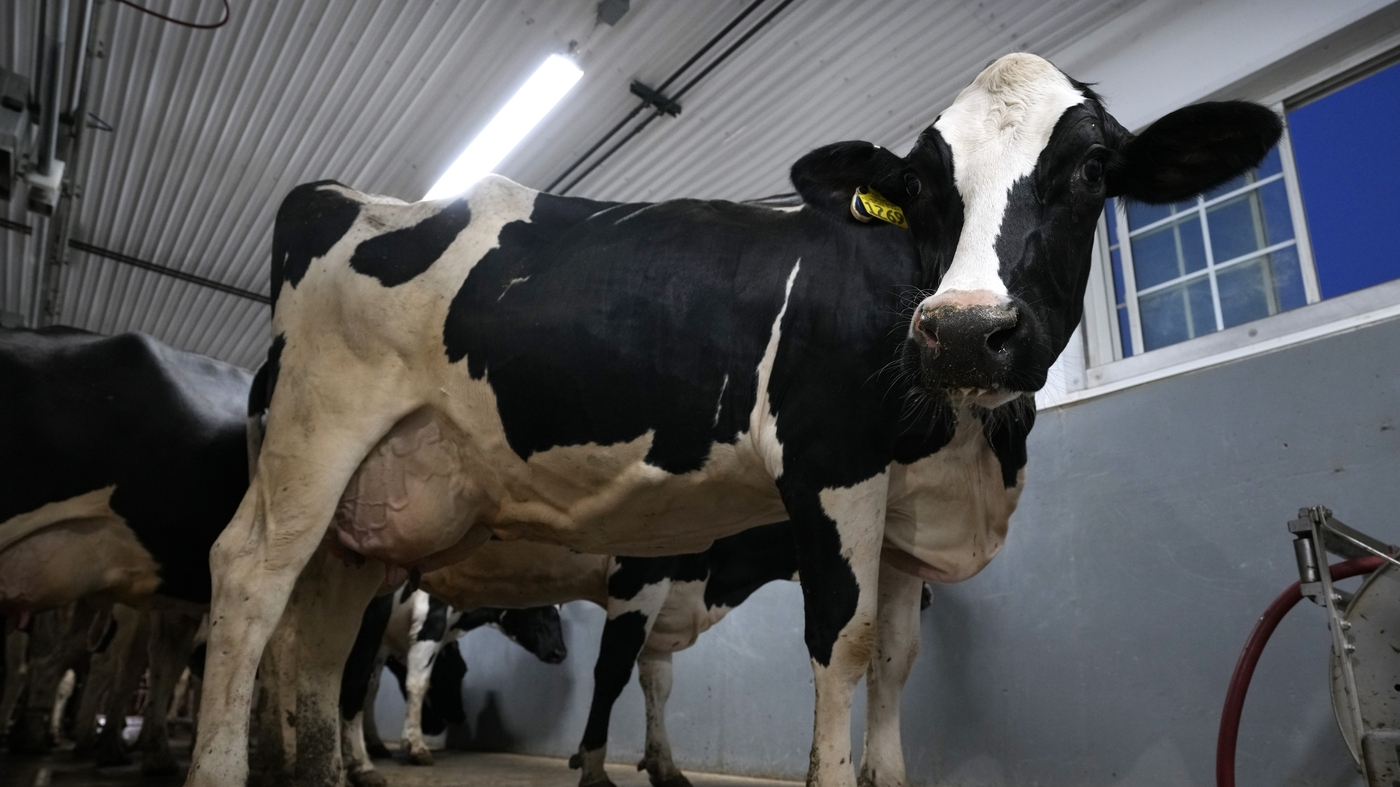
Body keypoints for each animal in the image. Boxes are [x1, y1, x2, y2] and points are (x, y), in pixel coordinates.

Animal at [337, 587, 566, 786]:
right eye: (539, 605)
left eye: (463, 669)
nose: (561, 652)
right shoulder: (430, 623)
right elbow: (416, 683)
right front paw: (415, 747)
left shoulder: (383, 645)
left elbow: (370, 689)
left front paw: (372, 744)